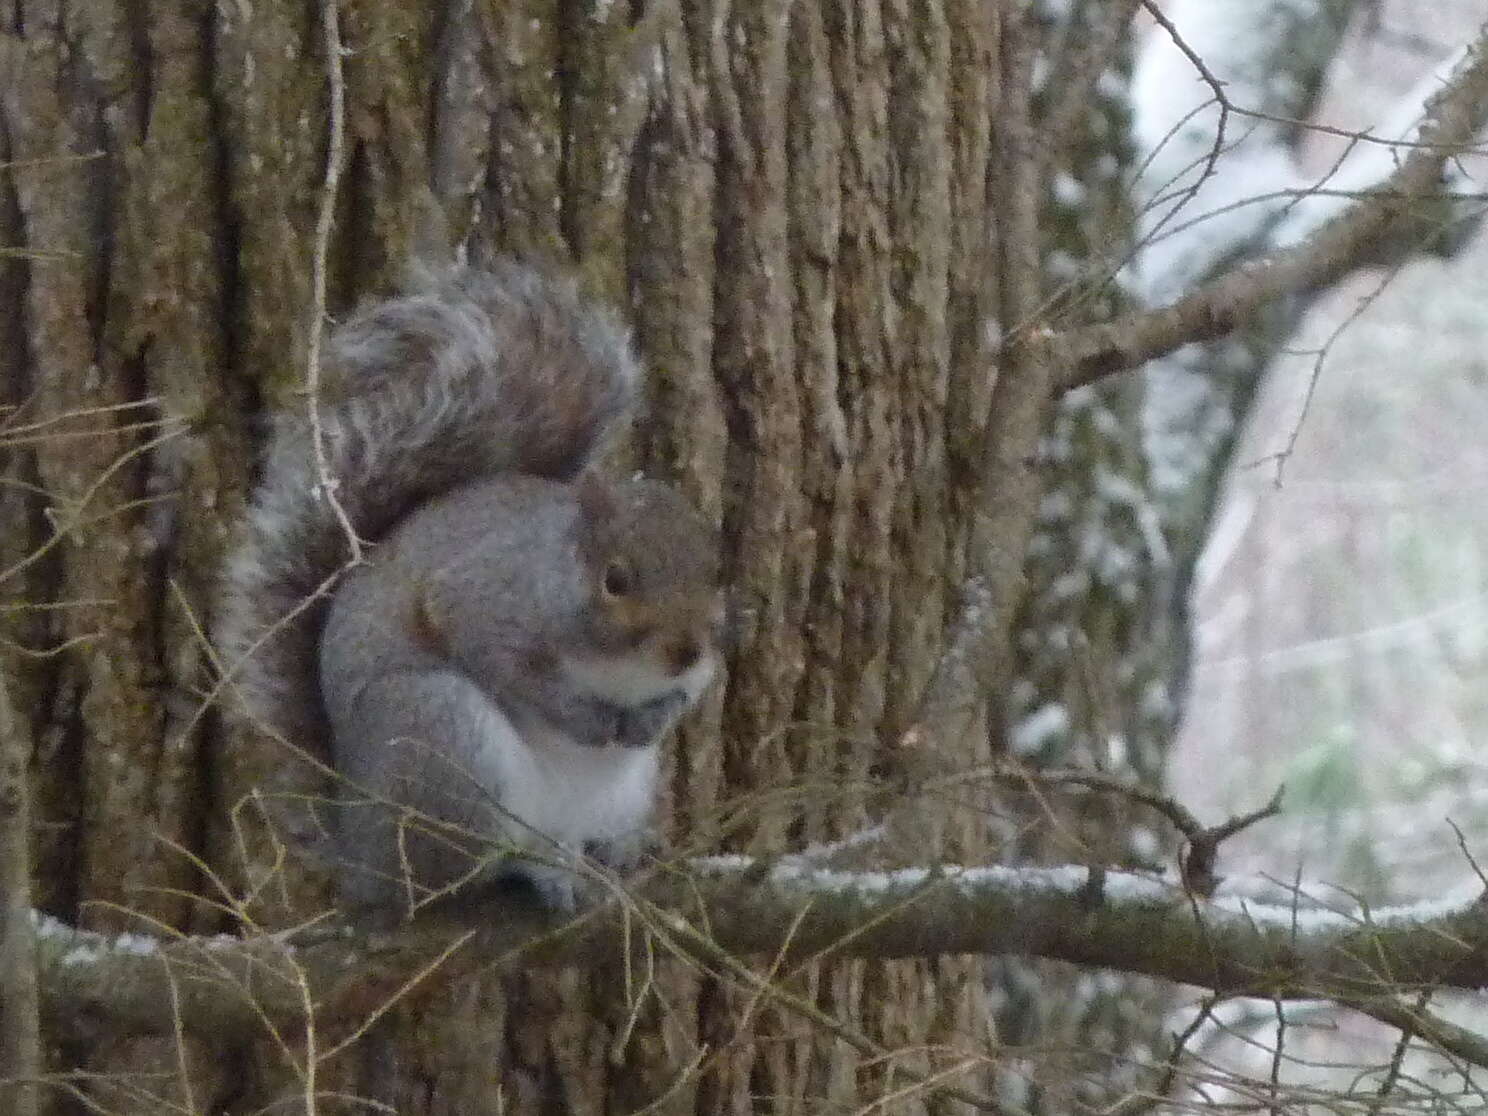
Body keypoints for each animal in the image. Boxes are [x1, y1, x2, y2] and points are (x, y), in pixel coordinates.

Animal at [215, 261, 720, 928]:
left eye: (718, 574)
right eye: (615, 579)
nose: (685, 651)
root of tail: (360, 854)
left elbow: (690, 693)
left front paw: (656, 715)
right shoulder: (481, 598)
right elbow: (506, 666)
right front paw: (580, 715)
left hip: (617, 791)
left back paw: (619, 848)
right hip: (440, 738)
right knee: (460, 875)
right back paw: (533, 871)